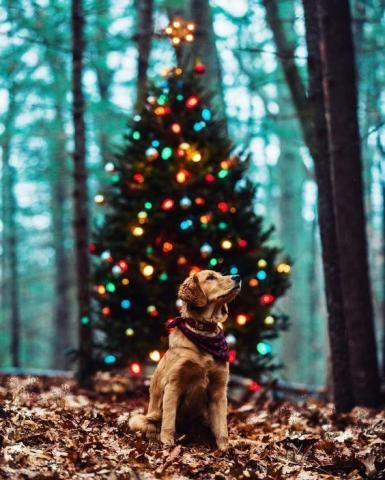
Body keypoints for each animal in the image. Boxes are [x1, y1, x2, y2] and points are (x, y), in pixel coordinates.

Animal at [130, 270, 242, 450]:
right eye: (210, 277)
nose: (237, 277)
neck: (203, 334)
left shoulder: (219, 389)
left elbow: (222, 426)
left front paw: (225, 448)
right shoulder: (173, 385)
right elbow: (169, 420)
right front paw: (167, 443)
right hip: (139, 419)